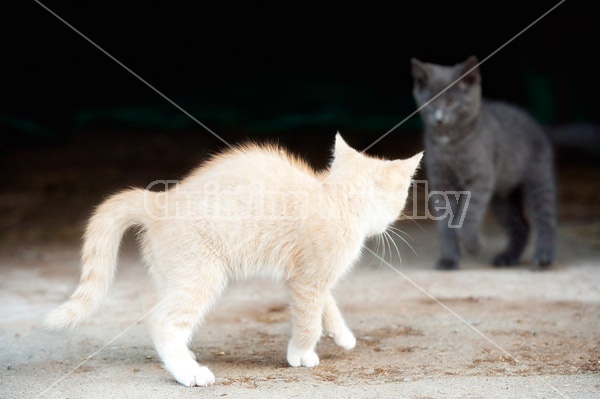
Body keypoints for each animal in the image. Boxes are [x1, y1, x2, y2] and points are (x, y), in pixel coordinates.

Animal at [45, 134, 422, 388]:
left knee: (153, 312)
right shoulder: (306, 281)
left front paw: (341, 334)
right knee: (166, 321)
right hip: (201, 276)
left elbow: (327, 305)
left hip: (173, 275)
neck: (337, 198)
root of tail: (160, 201)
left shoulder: (307, 276)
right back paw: (189, 373)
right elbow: (308, 319)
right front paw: (301, 353)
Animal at [410, 54, 556, 270]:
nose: (439, 119)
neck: (449, 143)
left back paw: (543, 258)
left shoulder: (480, 178)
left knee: (545, 217)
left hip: (538, 178)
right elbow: (446, 224)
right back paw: (507, 258)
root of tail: (538, 125)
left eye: (451, 102)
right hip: (501, 198)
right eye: (430, 102)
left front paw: (475, 246)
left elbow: (469, 215)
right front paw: (448, 259)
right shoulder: (441, 182)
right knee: (521, 226)